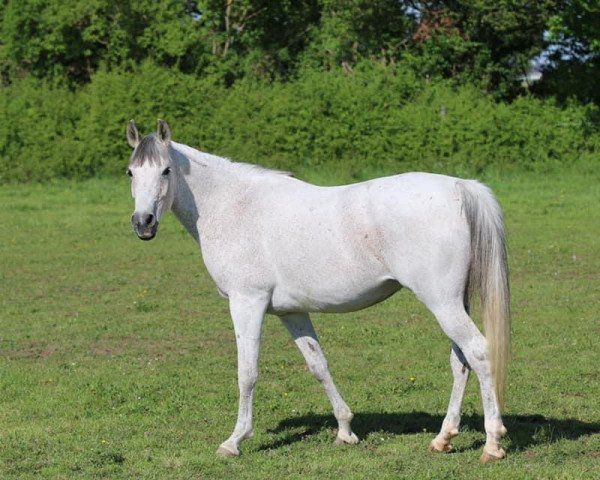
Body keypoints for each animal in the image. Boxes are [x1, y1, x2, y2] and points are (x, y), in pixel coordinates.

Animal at [126, 119, 510, 462]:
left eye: (165, 171)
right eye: (131, 173)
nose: (143, 223)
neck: (234, 206)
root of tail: (459, 187)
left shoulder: (247, 303)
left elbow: (247, 372)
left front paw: (234, 441)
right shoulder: (291, 311)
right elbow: (318, 364)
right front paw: (345, 430)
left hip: (442, 302)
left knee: (478, 352)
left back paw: (492, 444)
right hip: (454, 302)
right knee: (460, 361)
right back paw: (443, 439)